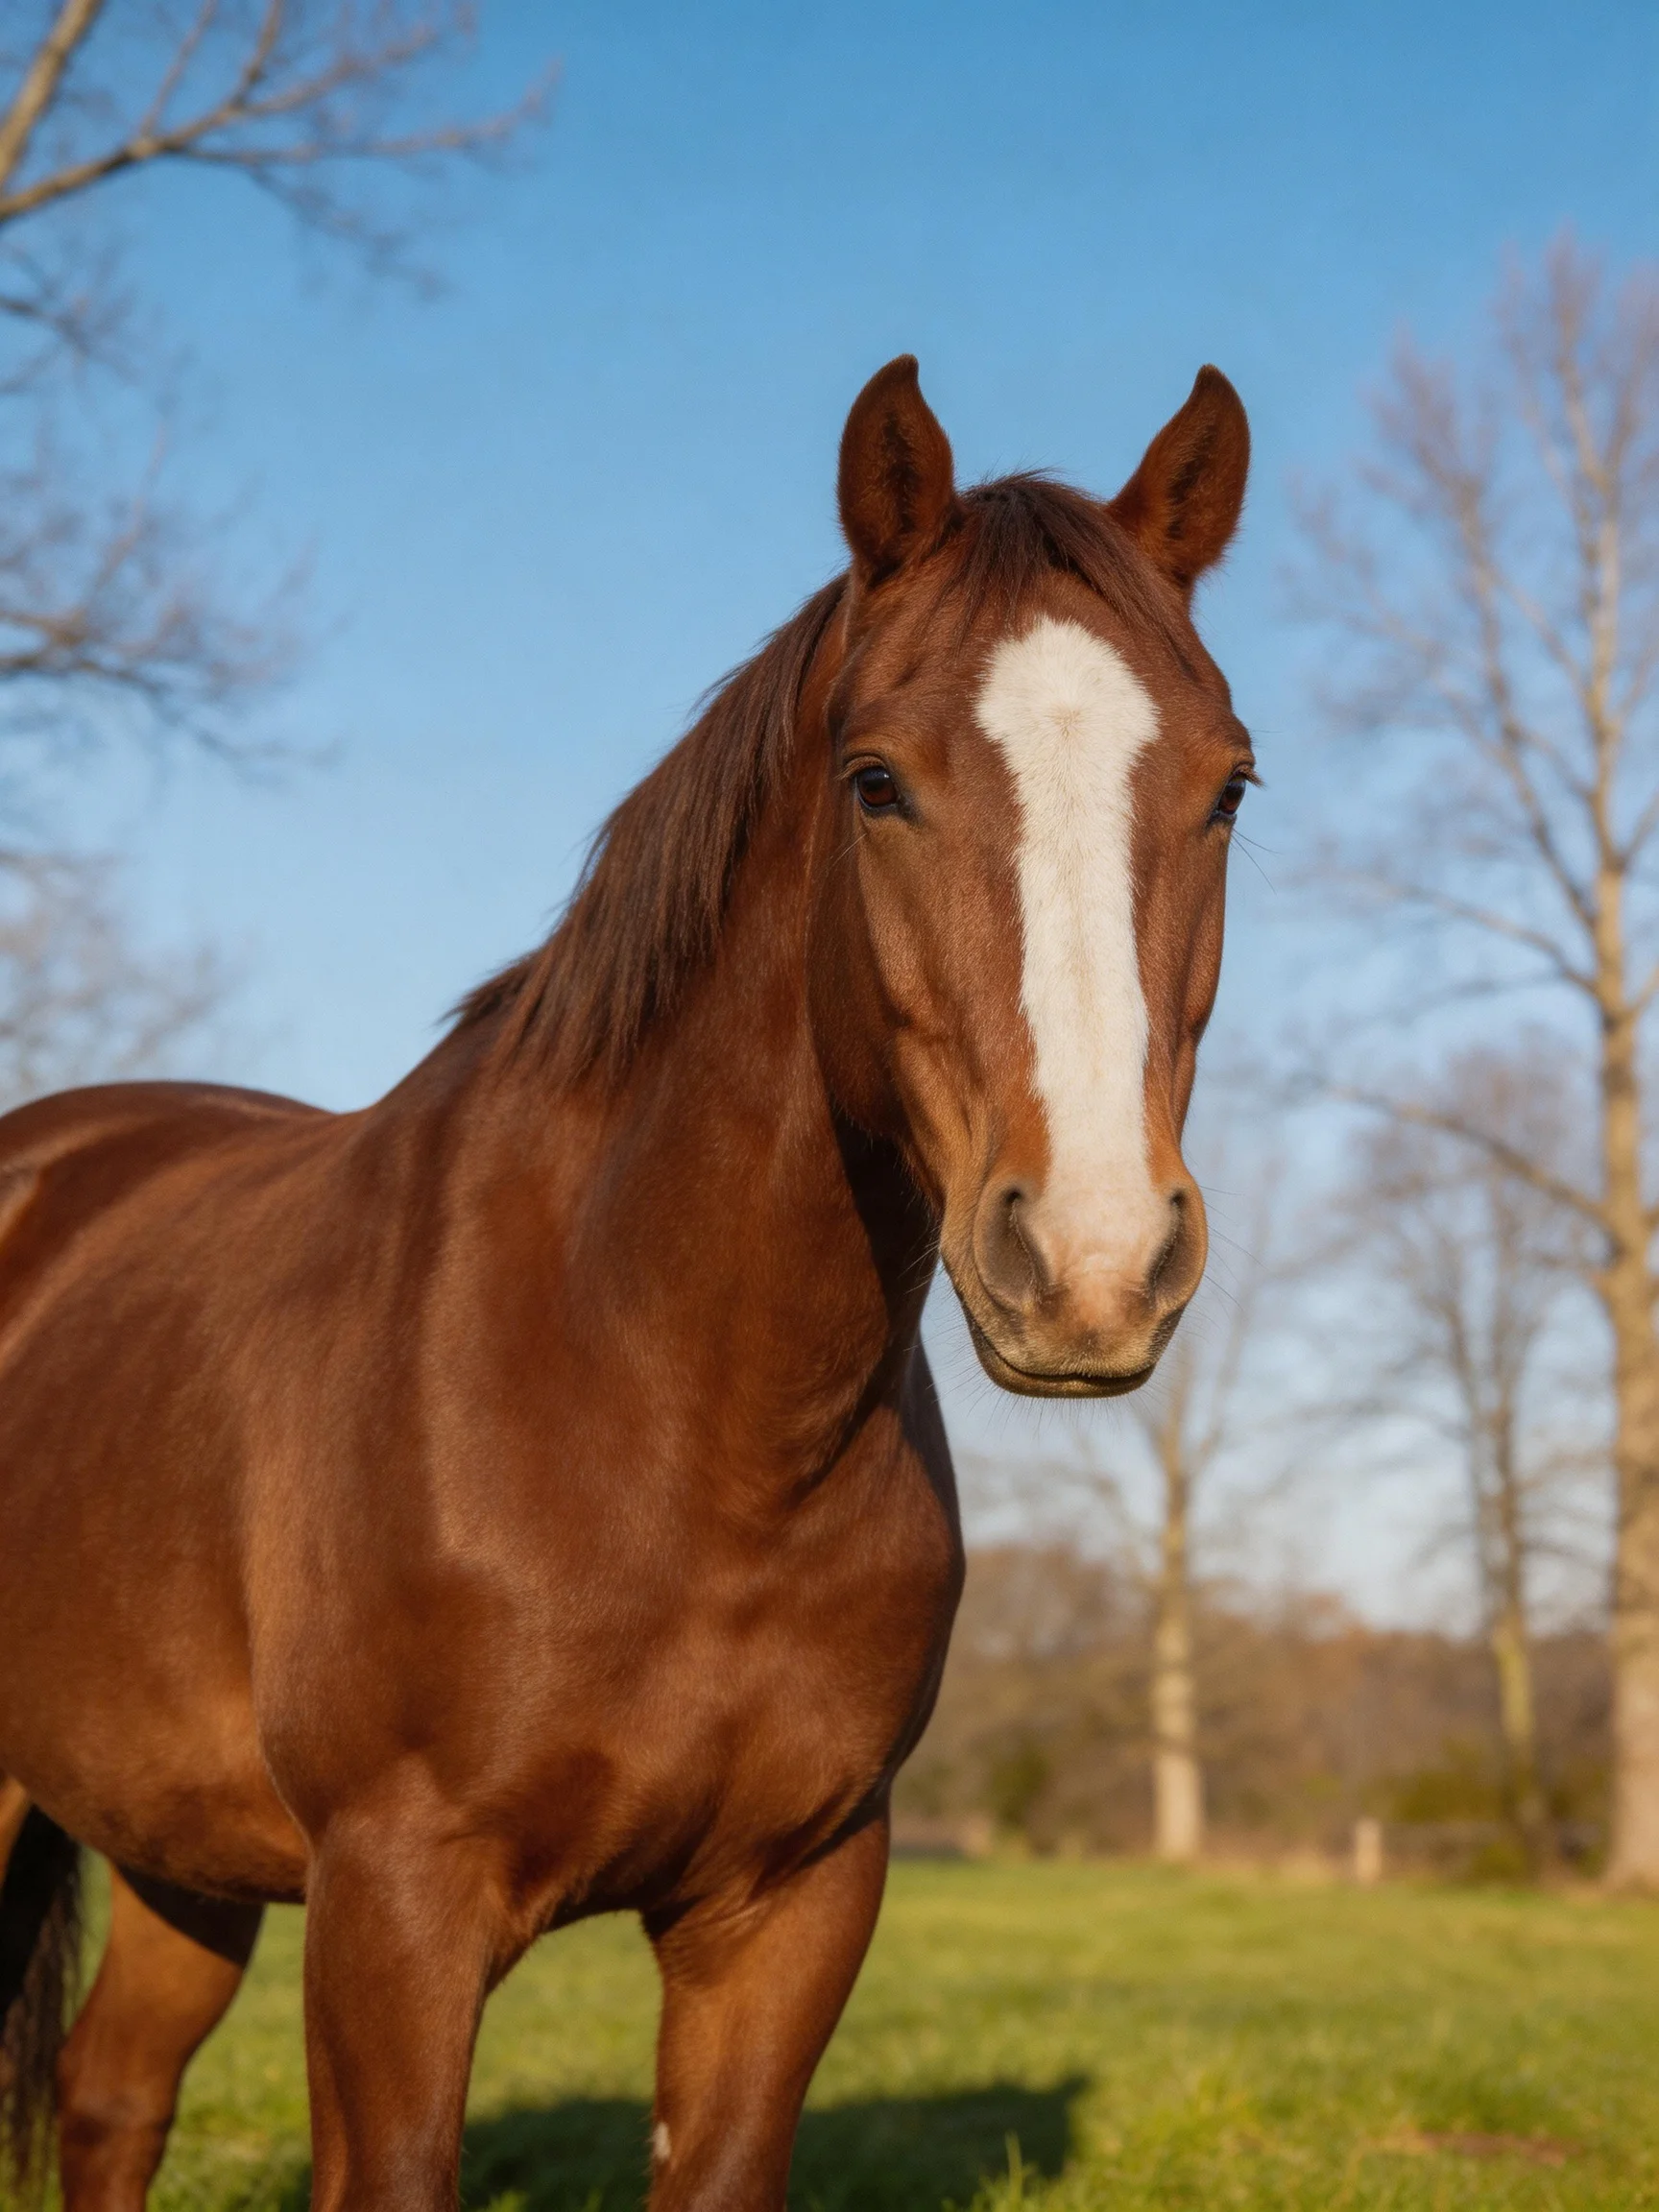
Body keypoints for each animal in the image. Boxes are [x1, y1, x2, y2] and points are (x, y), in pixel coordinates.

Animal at [0, 354, 1252, 2212]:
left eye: (1228, 786)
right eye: (874, 780)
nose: (1094, 1262)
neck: (661, 1403)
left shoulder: (789, 1904)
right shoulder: (397, 1905)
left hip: (181, 1852)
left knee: (110, 2094)